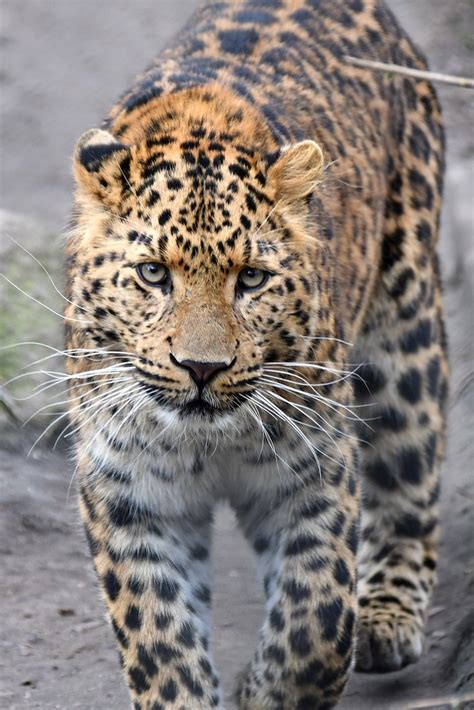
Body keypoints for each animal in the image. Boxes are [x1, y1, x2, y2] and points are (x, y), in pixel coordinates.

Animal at [65, 2, 448, 708]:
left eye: (251, 279)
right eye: (153, 274)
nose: (202, 369)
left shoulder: (313, 474)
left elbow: (317, 618)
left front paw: (267, 689)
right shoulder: (131, 490)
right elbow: (160, 635)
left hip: (407, 322)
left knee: (411, 475)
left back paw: (385, 616)